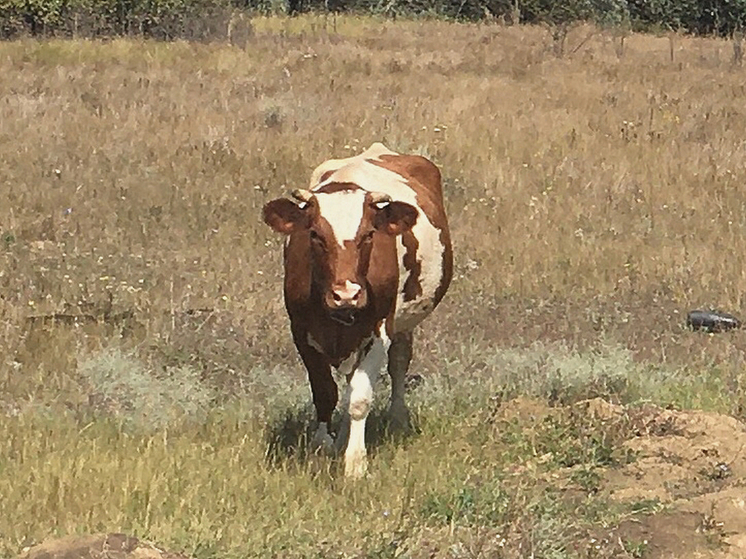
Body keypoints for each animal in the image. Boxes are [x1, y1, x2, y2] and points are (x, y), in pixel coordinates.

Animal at [262, 142, 450, 480]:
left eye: (369, 235)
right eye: (315, 234)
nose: (346, 295)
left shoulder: (379, 330)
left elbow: (360, 397)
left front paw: (355, 463)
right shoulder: (301, 331)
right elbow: (325, 393)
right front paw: (324, 447)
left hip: (402, 323)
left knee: (398, 362)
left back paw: (397, 418)